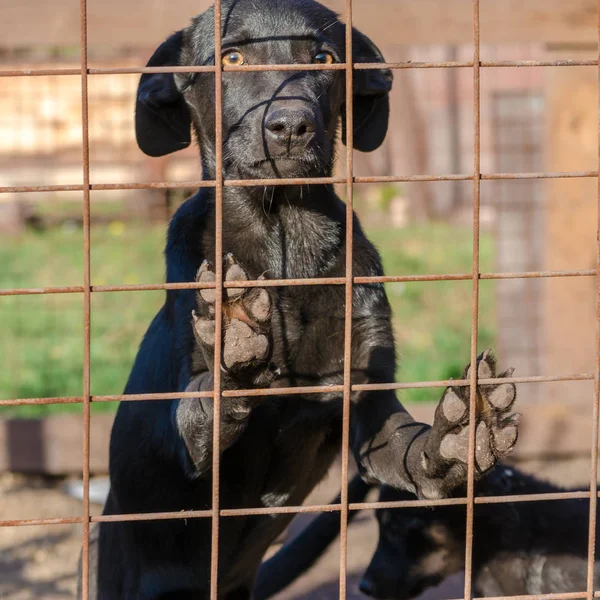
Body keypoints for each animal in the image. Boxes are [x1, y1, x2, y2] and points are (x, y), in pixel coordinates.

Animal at [90, 2, 520, 596]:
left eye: (324, 58)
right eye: (231, 57)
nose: (291, 125)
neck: (284, 238)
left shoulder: (368, 406)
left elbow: (414, 450)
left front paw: (462, 436)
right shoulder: (189, 452)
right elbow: (200, 406)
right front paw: (234, 337)